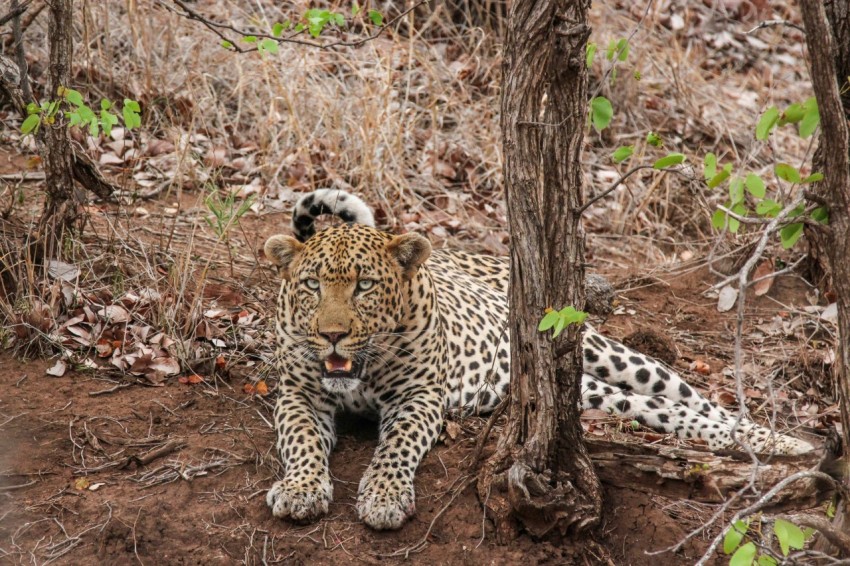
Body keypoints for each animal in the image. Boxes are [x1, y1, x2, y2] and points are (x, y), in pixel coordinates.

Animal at [264, 190, 816, 532]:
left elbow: (397, 446)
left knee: (688, 398)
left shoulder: (418, 396)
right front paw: (300, 489)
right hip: (575, 388)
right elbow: (301, 440)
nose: (332, 335)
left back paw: (783, 444)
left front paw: (382, 496)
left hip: (603, 351)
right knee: (652, 408)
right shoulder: (298, 393)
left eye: (364, 286)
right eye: (312, 285)